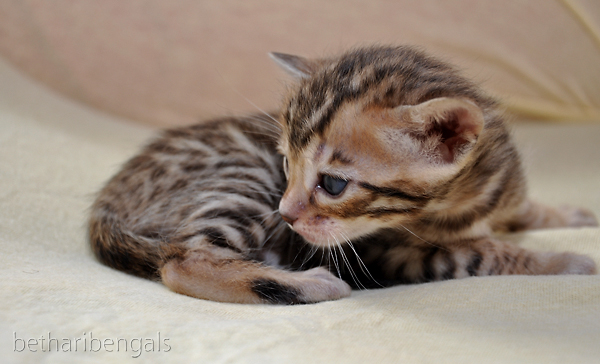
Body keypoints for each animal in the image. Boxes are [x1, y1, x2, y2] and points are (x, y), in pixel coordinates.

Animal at [88, 45, 596, 304]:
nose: (286, 213)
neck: (466, 201)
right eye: (286, 164)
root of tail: (106, 205)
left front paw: (570, 215)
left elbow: (523, 210)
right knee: (180, 261)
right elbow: (478, 253)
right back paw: (308, 284)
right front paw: (566, 261)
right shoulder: (382, 254)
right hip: (241, 180)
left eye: (332, 184)